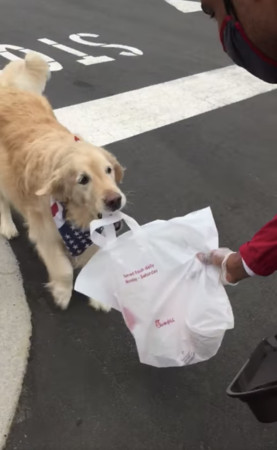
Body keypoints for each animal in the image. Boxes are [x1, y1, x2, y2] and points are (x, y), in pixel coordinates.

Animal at [0, 59, 124, 310]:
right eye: (83, 179)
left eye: (108, 170)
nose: (115, 200)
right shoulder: (44, 231)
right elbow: (63, 268)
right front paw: (62, 293)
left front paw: (98, 297)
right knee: (3, 201)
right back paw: (7, 226)